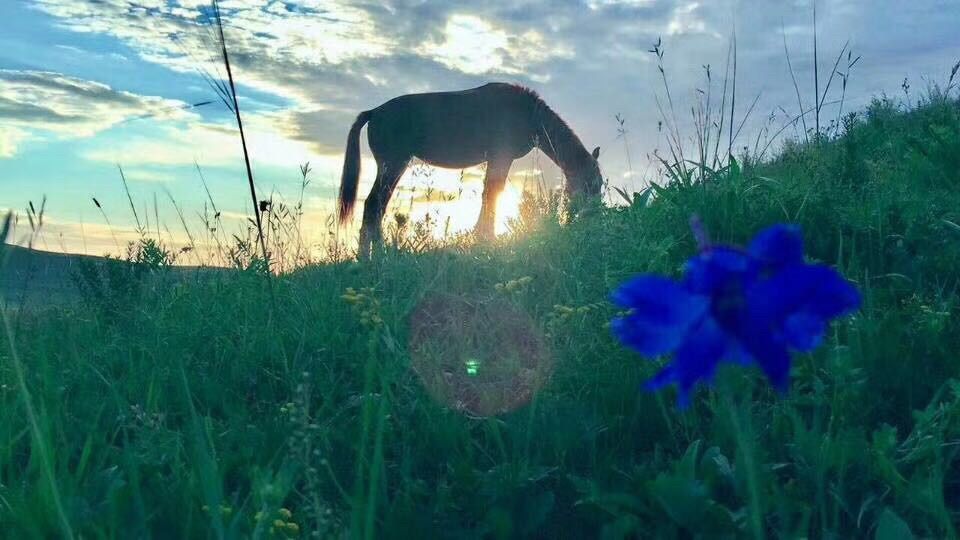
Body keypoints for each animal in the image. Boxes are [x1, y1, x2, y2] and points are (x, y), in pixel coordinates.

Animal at [340, 82, 600, 255]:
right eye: (592, 183)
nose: (593, 216)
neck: (528, 114)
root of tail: (374, 112)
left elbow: (489, 195)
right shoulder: (500, 158)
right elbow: (492, 195)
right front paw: (487, 239)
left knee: (377, 207)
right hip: (393, 165)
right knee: (373, 204)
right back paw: (374, 256)